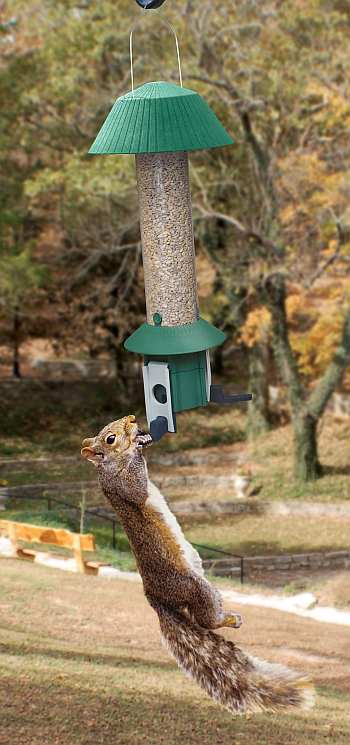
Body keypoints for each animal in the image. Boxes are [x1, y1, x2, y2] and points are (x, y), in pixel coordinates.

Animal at [82, 416, 314, 712]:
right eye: (110, 438)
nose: (133, 419)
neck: (108, 467)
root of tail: (156, 599)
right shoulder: (123, 485)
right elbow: (137, 486)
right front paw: (136, 446)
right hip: (198, 589)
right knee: (205, 620)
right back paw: (230, 619)